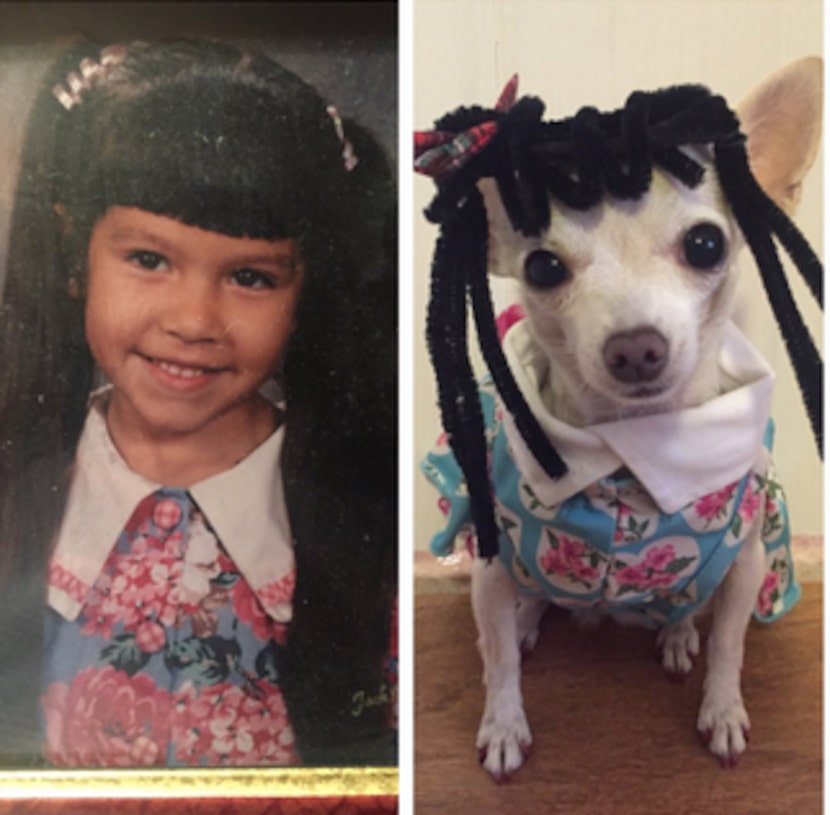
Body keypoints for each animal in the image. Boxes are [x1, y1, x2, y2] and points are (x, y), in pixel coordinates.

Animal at [422, 54, 824, 780]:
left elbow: (730, 644)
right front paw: (503, 722)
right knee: (521, 612)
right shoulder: (488, 567)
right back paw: (530, 616)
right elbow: (496, 658)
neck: (629, 446)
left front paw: (722, 708)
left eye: (705, 244)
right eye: (543, 266)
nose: (635, 347)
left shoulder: (749, 563)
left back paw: (676, 633)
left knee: (691, 610)